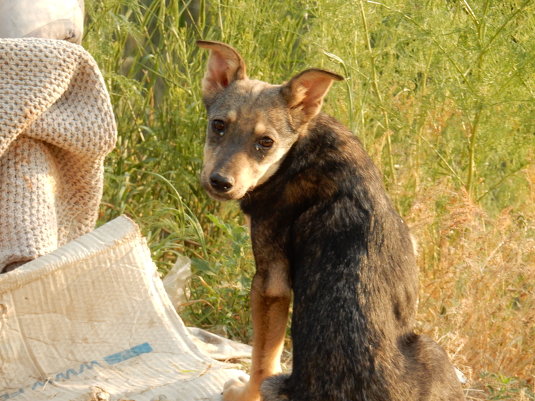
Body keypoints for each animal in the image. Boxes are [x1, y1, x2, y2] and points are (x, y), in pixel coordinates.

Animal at [197, 39, 464, 400]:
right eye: (218, 126)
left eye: (265, 142)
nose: (220, 183)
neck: (297, 150)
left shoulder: (270, 282)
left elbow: (262, 360)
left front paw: (241, 394)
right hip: (436, 352)